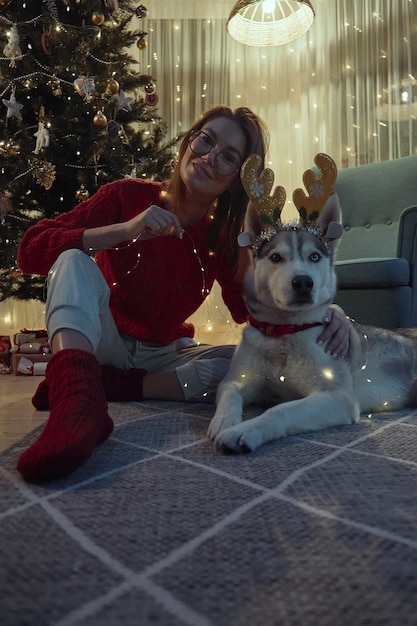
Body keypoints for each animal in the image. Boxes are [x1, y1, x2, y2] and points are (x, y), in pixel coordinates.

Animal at [207, 154, 416, 450]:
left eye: (314, 257)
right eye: (276, 257)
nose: (304, 283)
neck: (284, 333)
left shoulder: (337, 397)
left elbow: (281, 409)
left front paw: (244, 431)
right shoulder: (236, 380)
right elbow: (229, 394)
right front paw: (225, 421)